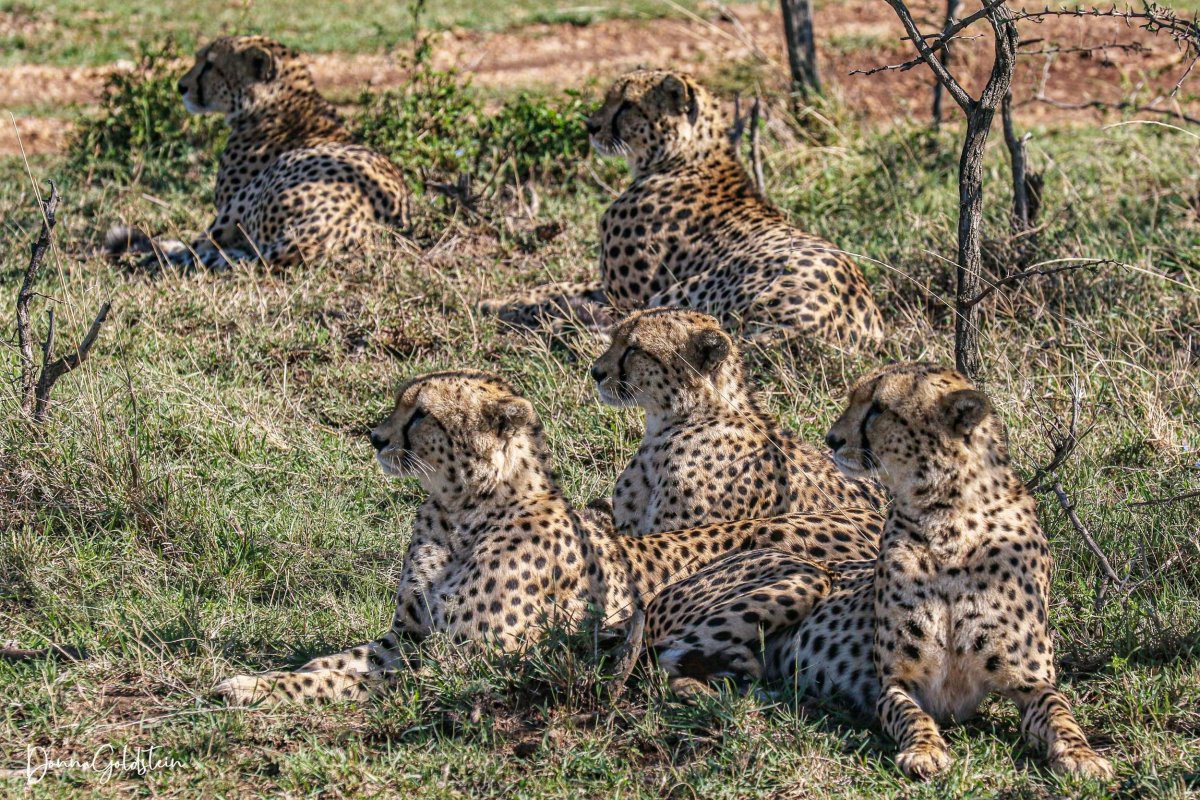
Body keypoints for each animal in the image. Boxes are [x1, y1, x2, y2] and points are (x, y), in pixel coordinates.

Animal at [213, 369, 881, 706]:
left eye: (421, 414)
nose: (375, 438)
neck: (461, 513)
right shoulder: (407, 637)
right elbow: (332, 661)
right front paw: (253, 682)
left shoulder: (466, 660)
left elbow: (347, 677)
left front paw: (268, 689)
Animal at [482, 68, 884, 349]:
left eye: (627, 105)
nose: (591, 127)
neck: (686, 157)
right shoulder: (613, 287)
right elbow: (563, 285)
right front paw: (503, 300)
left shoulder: (628, 294)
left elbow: (568, 292)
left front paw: (515, 306)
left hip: (694, 289)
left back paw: (559, 328)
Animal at [645, 362, 1114, 780]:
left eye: (878, 409)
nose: (832, 440)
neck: (948, 523)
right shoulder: (896, 682)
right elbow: (912, 717)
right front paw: (924, 752)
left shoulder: (1031, 681)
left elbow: (1060, 713)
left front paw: (1083, 756)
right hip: (807, 575)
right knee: (661, 659)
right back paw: (721, 691)